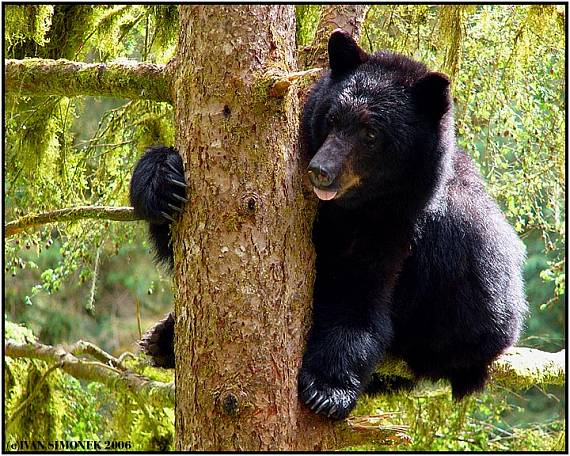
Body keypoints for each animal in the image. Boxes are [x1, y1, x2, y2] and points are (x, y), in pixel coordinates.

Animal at [129, 29, 524, 420]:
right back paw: (162, 339)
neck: (350, 209)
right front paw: (162, 182)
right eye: (332, 118)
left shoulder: (397, 227)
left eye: (371, 134)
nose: (320, 170)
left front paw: (327, 389)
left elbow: (358, 298)